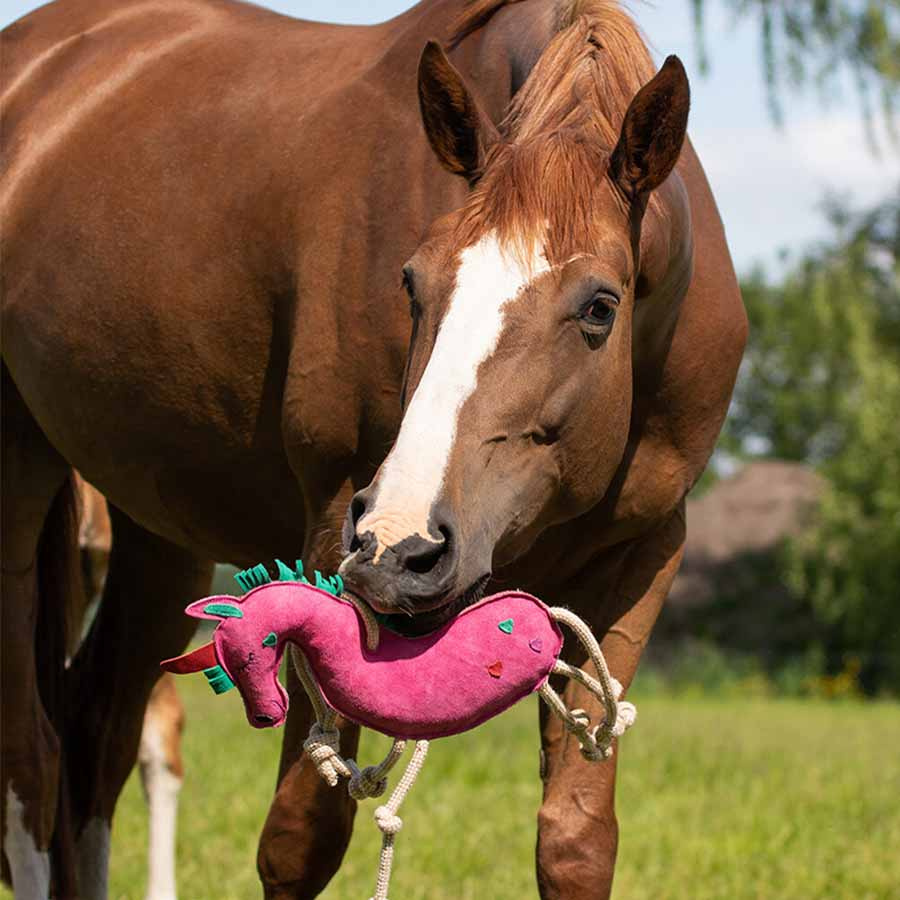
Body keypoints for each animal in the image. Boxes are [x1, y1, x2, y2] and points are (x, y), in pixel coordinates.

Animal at [0, 0, 745, 897]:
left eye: (601, 306)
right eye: (412, 283)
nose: (402, 546)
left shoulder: (639, 557)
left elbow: (575, 841)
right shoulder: (331, 526)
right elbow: (301, 836)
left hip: (157, 533)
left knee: (95, 741)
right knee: (31, 759)